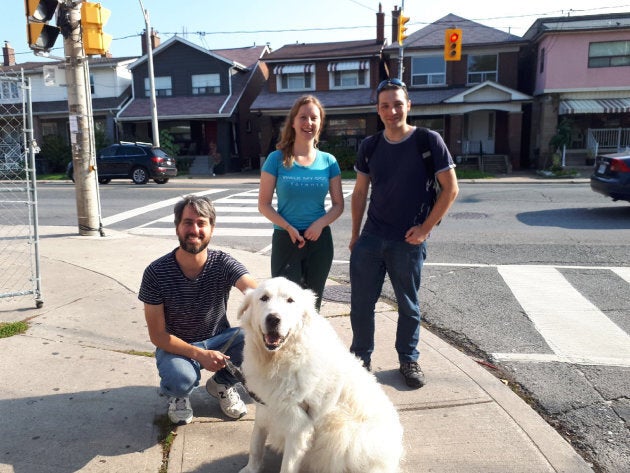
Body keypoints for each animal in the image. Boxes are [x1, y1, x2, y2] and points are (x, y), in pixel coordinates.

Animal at [237, 276, 404, 472]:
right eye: (264, 298)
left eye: (290, 301)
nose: (273, 319)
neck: (280, 358)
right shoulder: (266, 407)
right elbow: (255, 444)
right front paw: (250, 469)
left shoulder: (298, 427)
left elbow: (287, 466)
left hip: (346, 436)